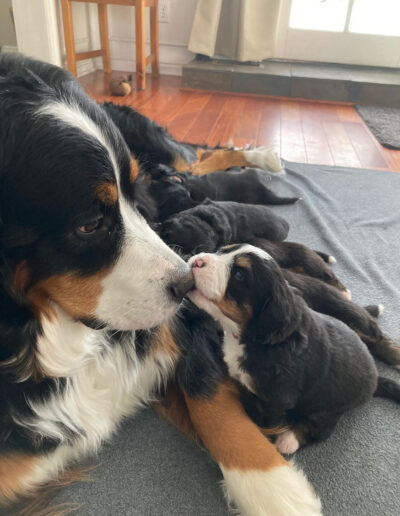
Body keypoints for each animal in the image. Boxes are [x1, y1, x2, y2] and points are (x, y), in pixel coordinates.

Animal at [188, 244, 400, 454]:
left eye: (239, 274)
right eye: (222, 250)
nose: (197, 261)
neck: (254, 338)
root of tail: (375, 378)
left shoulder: (276, 399)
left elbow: (265, 421)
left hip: (330, 404)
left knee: (322, 429)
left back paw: (289, 440)